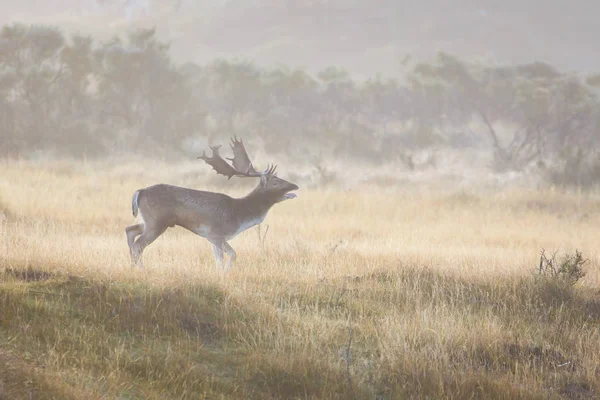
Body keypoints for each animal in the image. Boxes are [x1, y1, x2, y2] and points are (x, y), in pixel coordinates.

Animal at [124, 136, 298, 270]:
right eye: (275, 181)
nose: (295, 186)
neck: (240, 215)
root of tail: (140, 191)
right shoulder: (216, 234)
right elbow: (232, 255)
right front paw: (226, 274)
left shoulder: (214, 239)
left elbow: (218, 261)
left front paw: (220, 275)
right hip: (157, 222)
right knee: (138, 245)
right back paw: (141, 269)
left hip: (148, 220)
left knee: (129, 231)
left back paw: (132, 267)